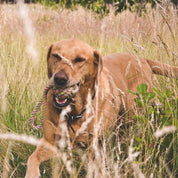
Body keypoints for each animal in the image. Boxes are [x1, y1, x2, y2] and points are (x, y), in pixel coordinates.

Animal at [24, 38, 177, 177]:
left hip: (133, 116)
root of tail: (142, 59)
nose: (60, 78)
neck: (75, 112)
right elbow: (32, 159)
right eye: (56, 56)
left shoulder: (94, 148)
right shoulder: (50, 142)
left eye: (79, 60)